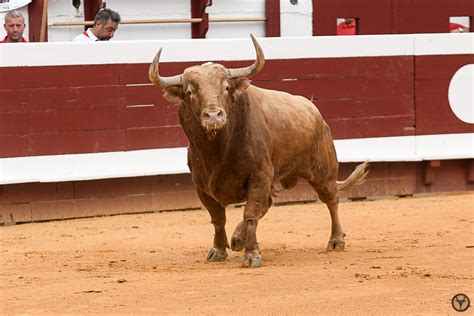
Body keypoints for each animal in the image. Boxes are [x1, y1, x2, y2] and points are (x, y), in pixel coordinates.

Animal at [148, 34, 366, 266]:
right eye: (189, 91)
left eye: (226, 87)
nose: (214, 115)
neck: (218, 149)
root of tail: (316, 112)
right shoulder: (201, 185)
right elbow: (218, 218)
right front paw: (219, 250)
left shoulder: (259, 175)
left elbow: (250, 213)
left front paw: (252, 254)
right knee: (268, 203)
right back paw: (237, 238)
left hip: (322, 171)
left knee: (331, 199)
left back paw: (336, 240)